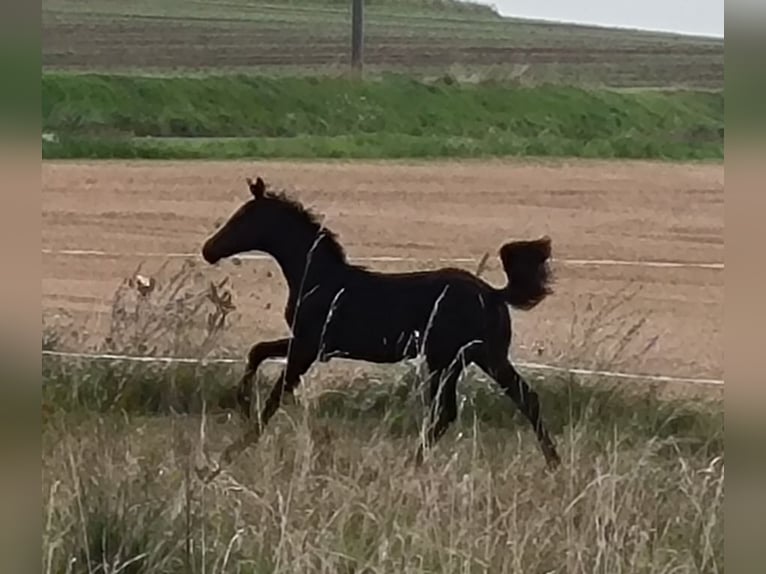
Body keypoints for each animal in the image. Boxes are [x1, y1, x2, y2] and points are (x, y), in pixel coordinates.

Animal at [202, 178, 564, 474]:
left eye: (244, 218)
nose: (208, 250)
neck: (319, 278)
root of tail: (493, 293)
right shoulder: (310, 344)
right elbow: (257, 351)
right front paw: (241, 404)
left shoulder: (307, 347)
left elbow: (275, 396)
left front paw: (234, 448)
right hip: (476, 358)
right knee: (519, 399)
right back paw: (553, 464)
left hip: (448, 360)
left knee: (449, 412)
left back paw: (412, 464)